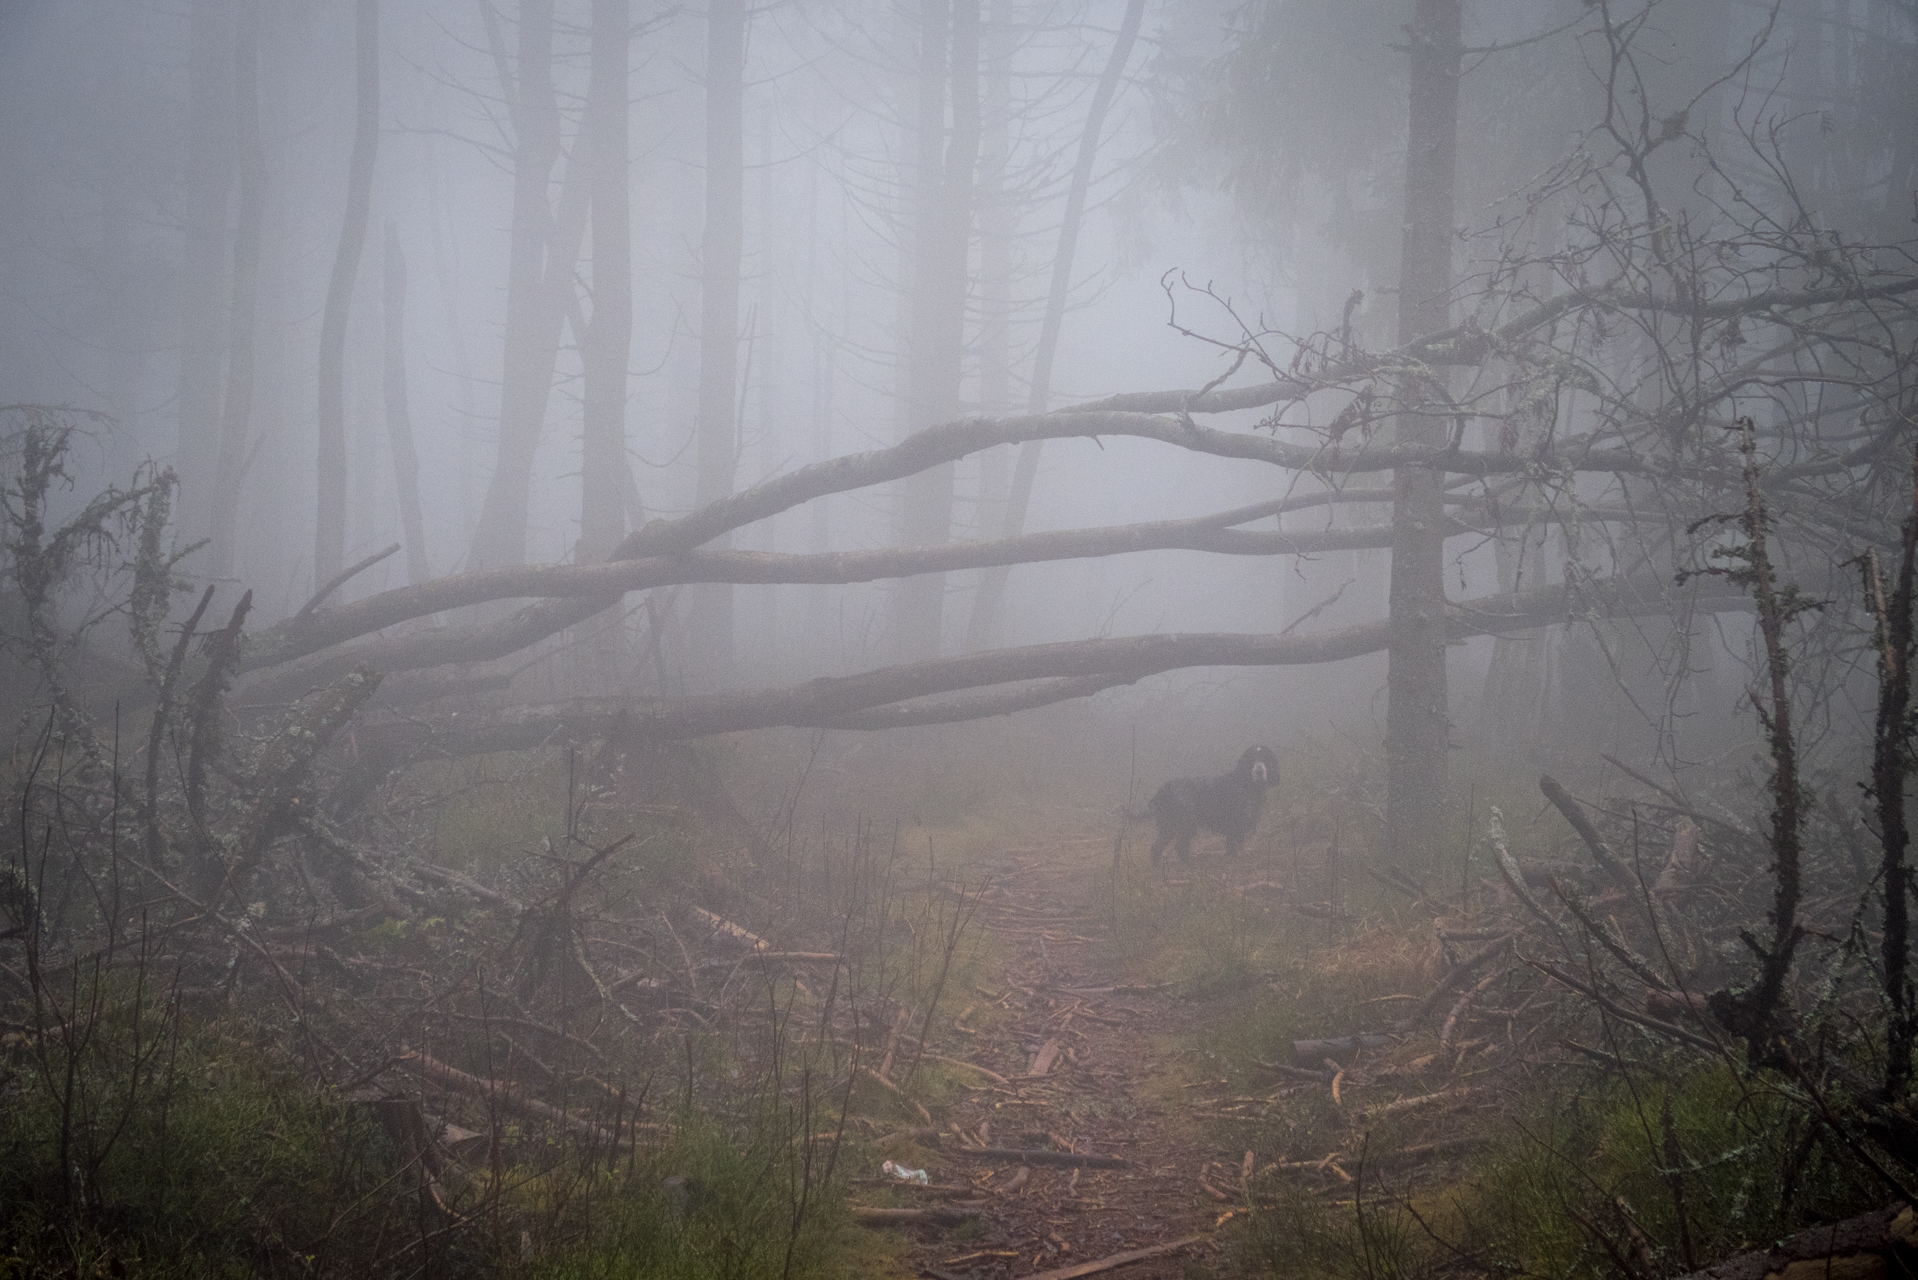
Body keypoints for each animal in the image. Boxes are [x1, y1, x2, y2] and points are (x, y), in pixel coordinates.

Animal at [1135, 744, 1273, 867]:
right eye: (1251, 759)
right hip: (1185, 825)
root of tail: (1163, 790)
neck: (1247, 784)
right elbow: (1233, 846)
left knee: (1158, 846)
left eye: (1265, 757)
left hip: (1169, 826)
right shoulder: (1235, 824)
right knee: (1178, 845)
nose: (1259, 771)